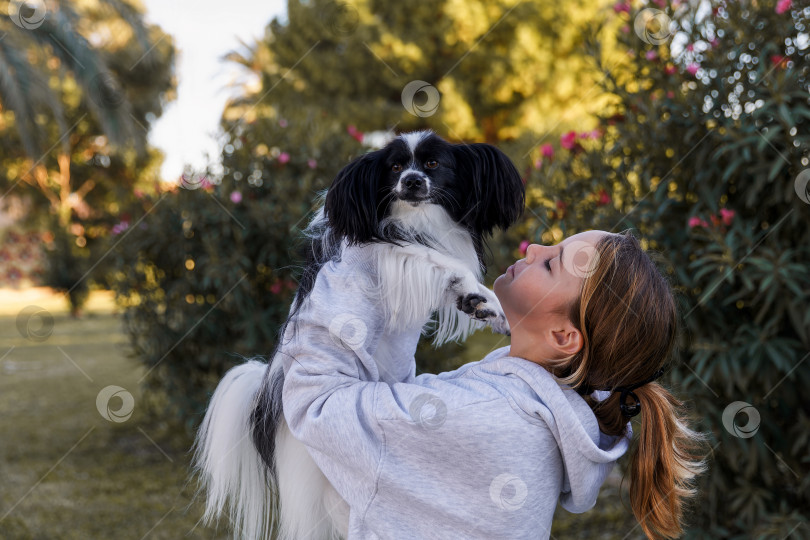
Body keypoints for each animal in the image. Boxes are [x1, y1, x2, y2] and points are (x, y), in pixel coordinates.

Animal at [193, 131, 528, 540]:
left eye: (433, 164)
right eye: (395, 167)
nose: (411, 182)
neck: (415, 219)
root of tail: (269, 402)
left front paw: (485, 305)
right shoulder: (388, 252)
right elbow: (437, 260)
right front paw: (478, 295)